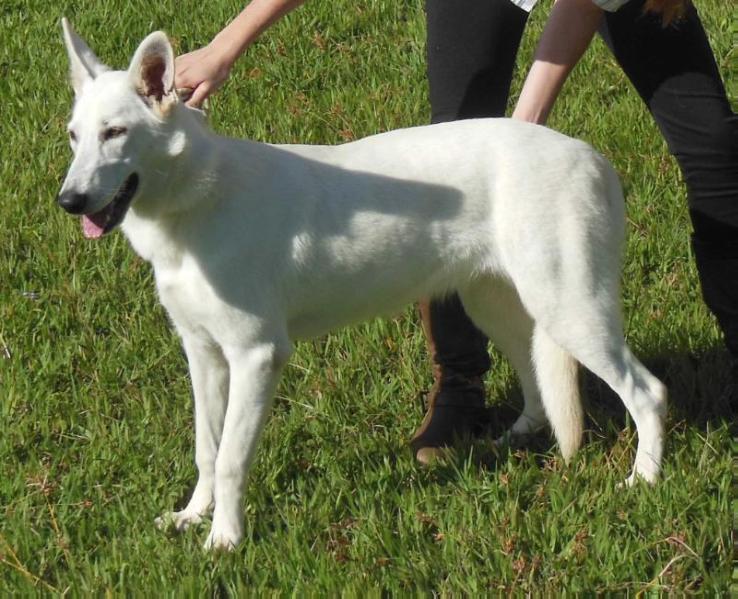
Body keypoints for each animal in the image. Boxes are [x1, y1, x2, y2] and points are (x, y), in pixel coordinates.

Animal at [59, 21, 668, 552]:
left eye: (115, 134)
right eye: (73, 137)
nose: (69, 201)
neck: (196, 202)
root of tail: (593, 158)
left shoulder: (257, 355)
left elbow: (232, 458)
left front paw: (225, 541)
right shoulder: (204, 353)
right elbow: (207, 451)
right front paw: (193, 517)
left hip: (572, 310)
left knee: (647, 392)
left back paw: (644, 480)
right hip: (498, 305)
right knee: (536, 376)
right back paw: (516, 439)